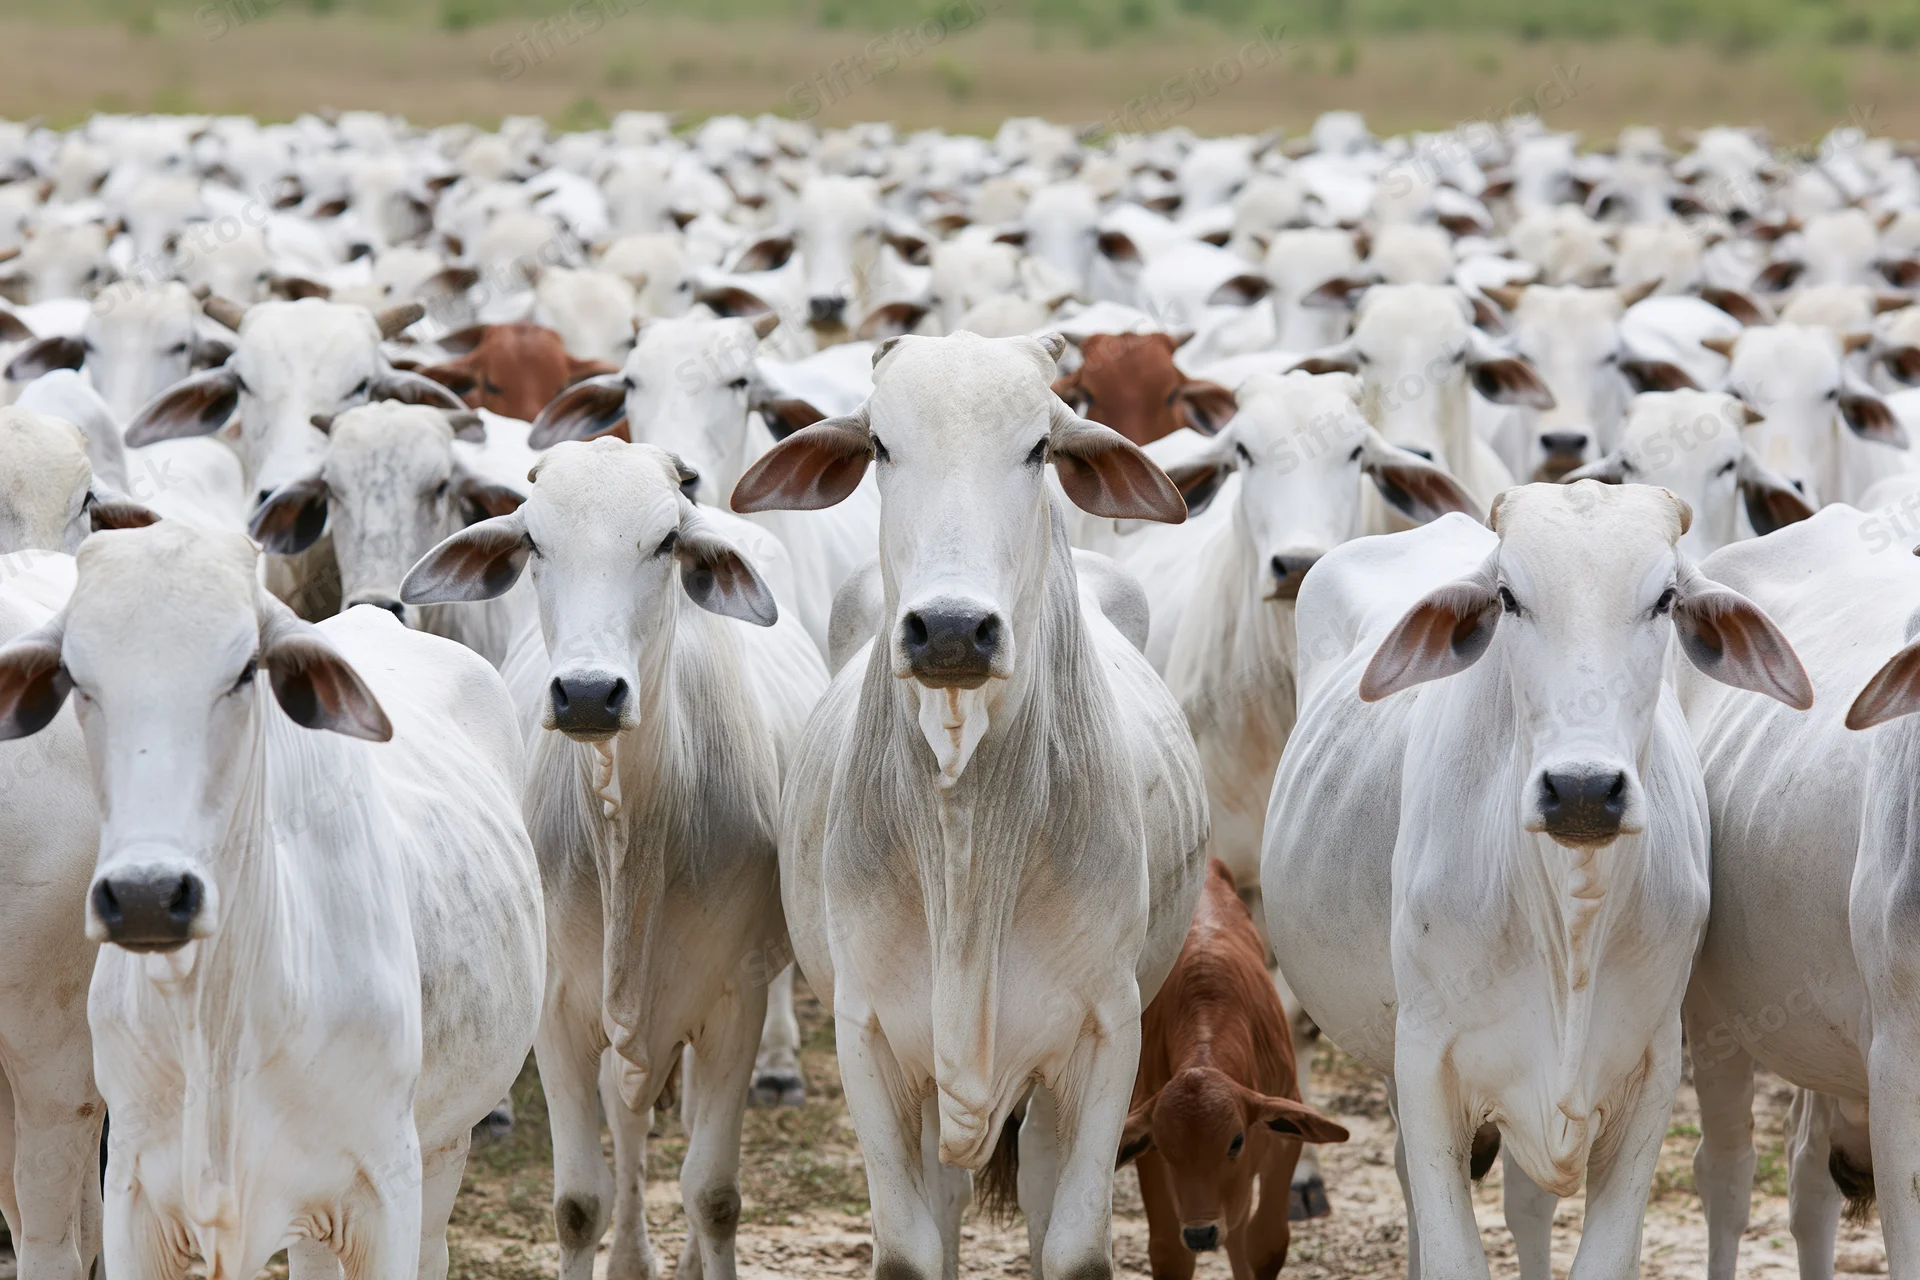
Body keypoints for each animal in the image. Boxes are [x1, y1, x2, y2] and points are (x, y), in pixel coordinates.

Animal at [0, 522, 545, 1280]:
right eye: (77, 679)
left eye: (243, 671)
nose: (146, 897)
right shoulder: (136, 1199)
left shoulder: (386, 1192)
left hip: (441, 1151)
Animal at [402, 439, 827, 1280]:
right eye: (535, 542)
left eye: (666, 542)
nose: (590, 694)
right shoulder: (560, 1009)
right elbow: (578, 1203)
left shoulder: (736, 1000)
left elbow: (713, 1193)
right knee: (629, 1126)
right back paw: (632, 1257)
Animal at [730, 330, 1210, 1280]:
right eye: (881, 446)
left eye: (1038, 448)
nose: (952, 629)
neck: (966, 830)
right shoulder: (870, 1040)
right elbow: (910, 1249)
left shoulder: (1106, 1040)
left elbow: (1073, 1247)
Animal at [1119, 860, 1349, 1280]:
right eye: (1166, 1147)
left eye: (1235, 1140)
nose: (1201, 1233)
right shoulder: (1149, 1149)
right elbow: (1169, 1251)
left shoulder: (1281, 1132)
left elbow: (1265, 1244)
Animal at [1265, 482, 1811, 1278]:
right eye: (1508, 597)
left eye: (1665, 598)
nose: (1582, 790)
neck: (1571, 917)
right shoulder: (1426, 1070)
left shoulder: (1651, 1076)